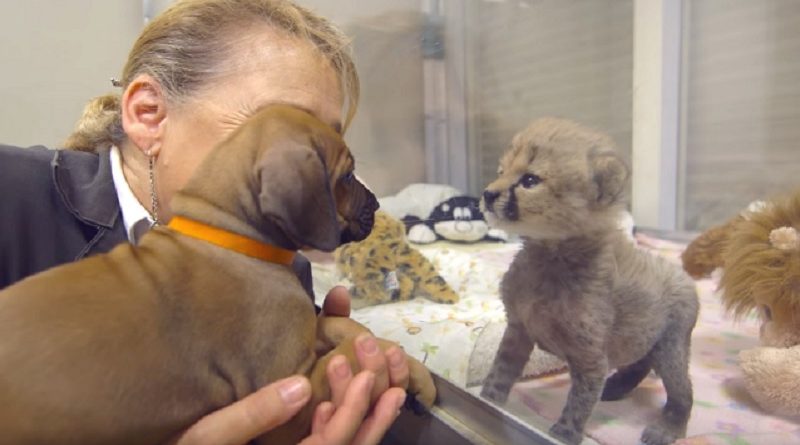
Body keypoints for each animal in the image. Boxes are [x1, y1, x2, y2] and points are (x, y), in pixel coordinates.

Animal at [0, 105, 434, 444]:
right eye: (346, 176)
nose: (376, 204)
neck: (228, 235)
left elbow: (344, 329)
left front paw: (413, 372)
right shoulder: (292, 395)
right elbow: (357, 351)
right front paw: (394, 358)